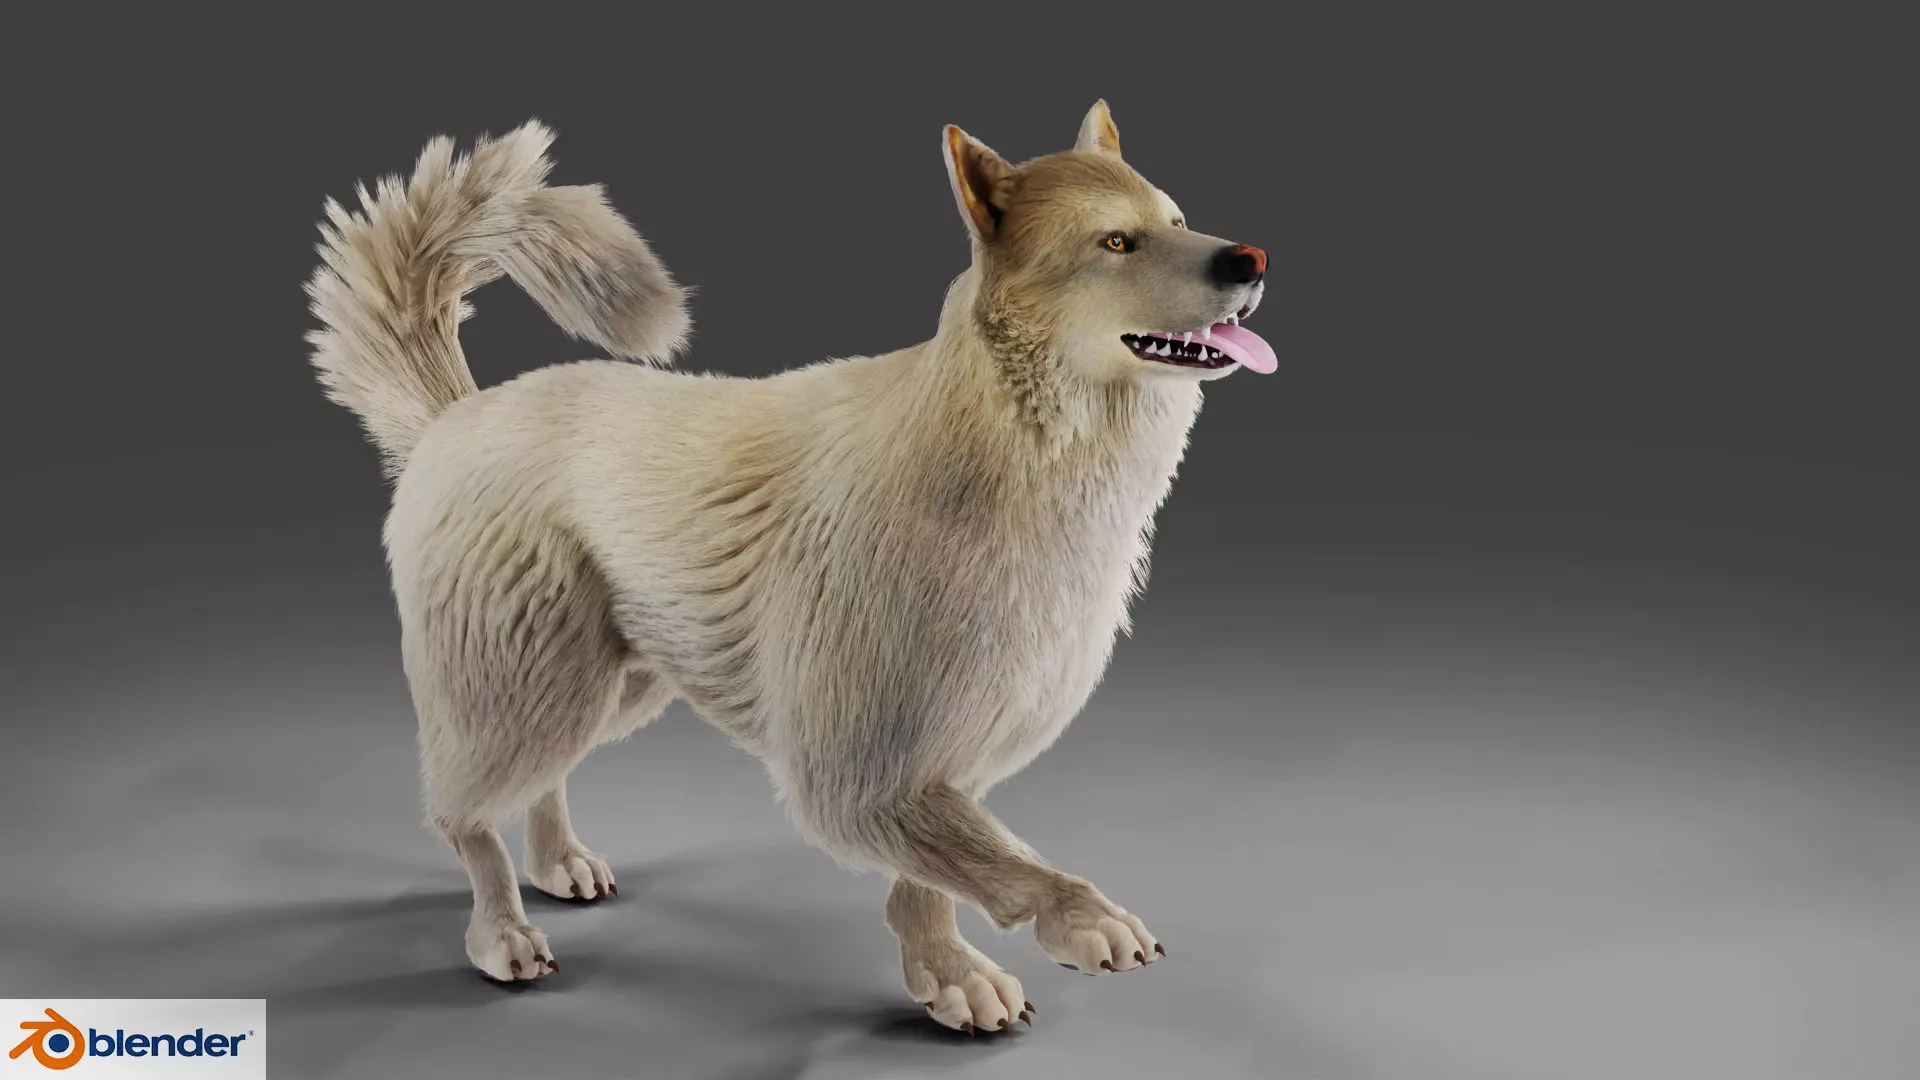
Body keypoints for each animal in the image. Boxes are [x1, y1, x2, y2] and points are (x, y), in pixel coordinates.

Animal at [303, 100, 1273, 1033]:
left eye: (1176, 220)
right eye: (1116, 242)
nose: (1249, 258)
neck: (1002, 448)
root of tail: (456, 416)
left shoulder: (934, 761)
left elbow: (936, 878)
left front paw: (945, 976)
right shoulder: (853, 773)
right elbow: (1005, 861)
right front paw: (1078, 920)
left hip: (614, 684)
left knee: (543, 781)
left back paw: (560, 860)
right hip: (524, 686)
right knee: (463, 816)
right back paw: (502, 930)